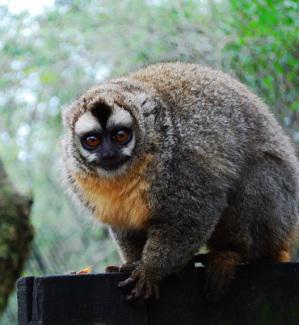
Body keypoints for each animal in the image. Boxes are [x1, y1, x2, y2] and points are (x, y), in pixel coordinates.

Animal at [61, 62, 299, 300]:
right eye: (92, 141)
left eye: (121, 136)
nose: (109, 154)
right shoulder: (76, 176)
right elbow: (124, 226)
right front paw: (132, 263)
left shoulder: (180, 162)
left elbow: (193, 214)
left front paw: (150, 270)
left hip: (280, 216)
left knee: (256, 178)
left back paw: (230, 254)